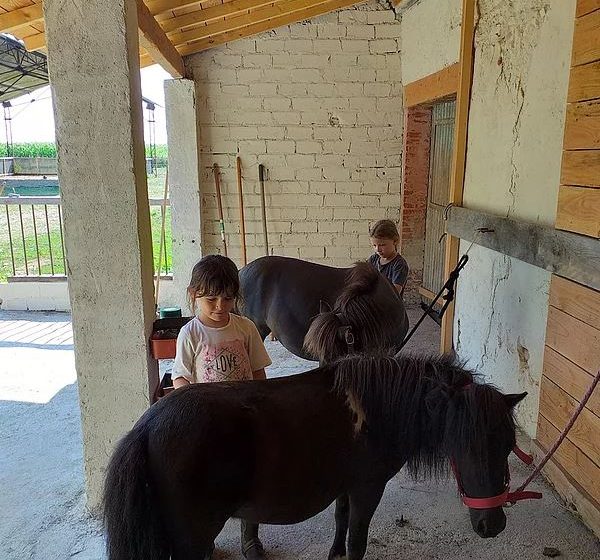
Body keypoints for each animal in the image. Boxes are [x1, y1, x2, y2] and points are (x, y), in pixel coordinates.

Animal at [105, 354, 528, 560]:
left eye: (507, 445)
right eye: (464, 445)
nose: (493, 526)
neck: (376, 410)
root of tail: (147, 426)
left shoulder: (345, 486)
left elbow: (340, 524)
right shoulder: (367, 488)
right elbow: (357, 540)